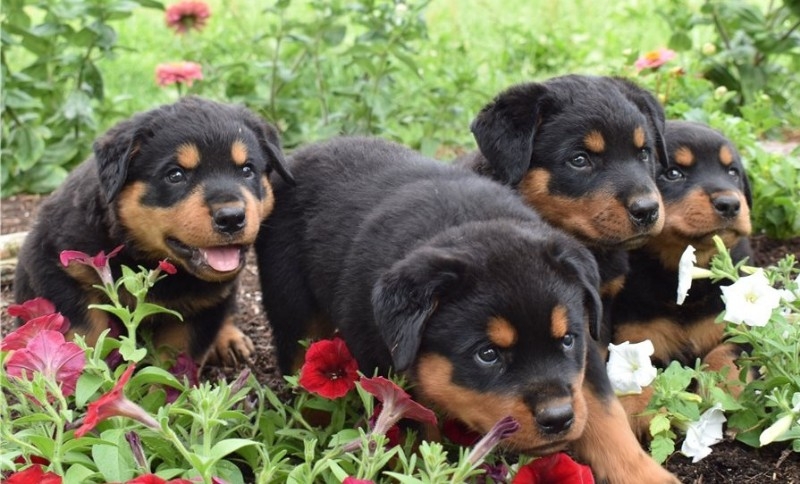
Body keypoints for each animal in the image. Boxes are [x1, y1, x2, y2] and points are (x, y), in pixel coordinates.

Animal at [14, 95, 296, 364]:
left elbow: (174, 361)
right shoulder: (56, 267)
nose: (231, 218)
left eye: (247, 170)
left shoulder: (204, 306)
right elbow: (85, 333)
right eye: (175, 175)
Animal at [260, 137, 680, 484]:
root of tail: (303, 153)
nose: (558, 418)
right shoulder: (390, 376)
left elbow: (608, 419)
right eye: (487, 355)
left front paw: (649, 476)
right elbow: (414, 441)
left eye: (566, 340)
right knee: (301, 372)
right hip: (292, 311)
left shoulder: (586, 353)